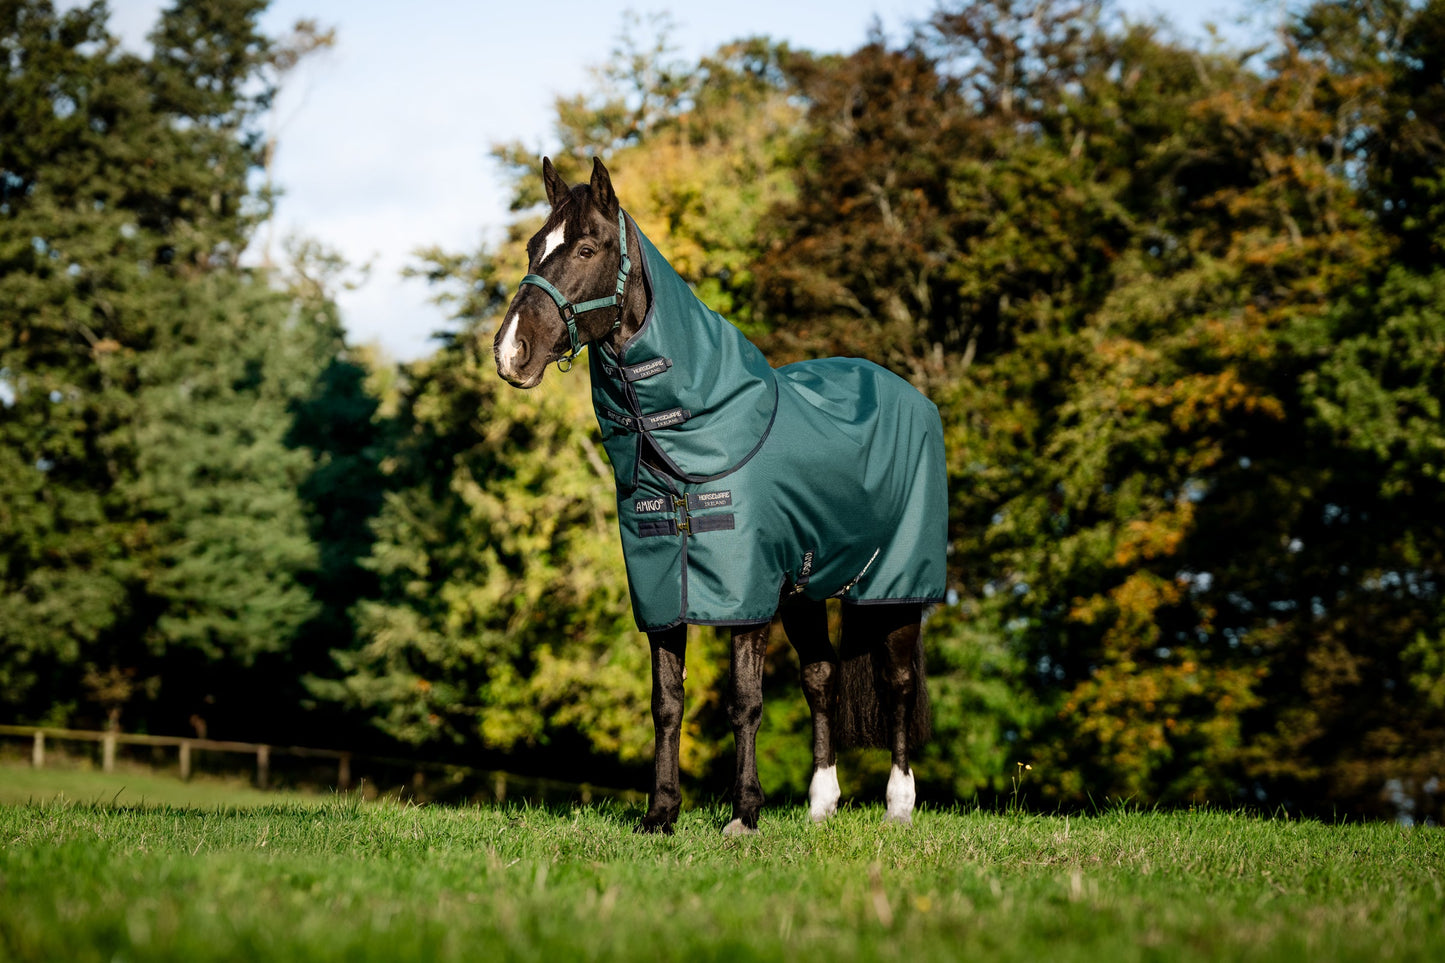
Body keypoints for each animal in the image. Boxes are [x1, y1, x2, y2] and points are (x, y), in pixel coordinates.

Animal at [494, 157, 948, 834]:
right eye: (531, 248)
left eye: (586, 248)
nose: (510, 352)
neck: (694, 438)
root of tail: (910, 395)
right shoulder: (662, 593)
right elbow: (666, 702)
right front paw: (661, 814)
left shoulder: (747, 597)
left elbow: (746, 701)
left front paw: (743, 814)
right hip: (806, 591)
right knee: (822, 679)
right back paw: (821, 804)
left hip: (894, 588)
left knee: (895, 683)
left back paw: (899, 805)